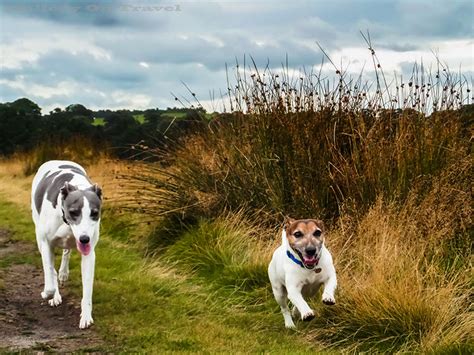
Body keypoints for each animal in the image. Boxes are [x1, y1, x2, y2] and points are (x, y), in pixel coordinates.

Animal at [31, 160, 103, 330]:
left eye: (94, 213)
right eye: (74, 212)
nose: (84, 239)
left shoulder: (89, 254)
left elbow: (87, 289)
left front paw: (86, 316)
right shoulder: (46, 244)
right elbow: (50, 280)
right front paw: (48, 294)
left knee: (66, 252)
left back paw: (63, 273)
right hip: (39, 236)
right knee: (51, 269)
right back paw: (55, 293)